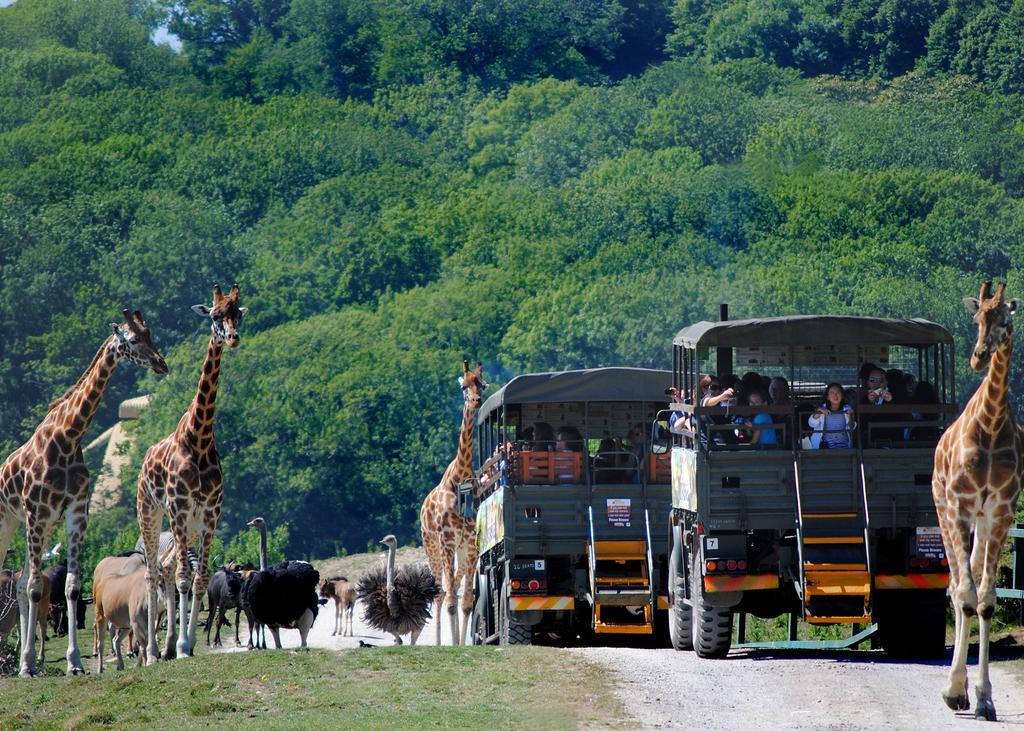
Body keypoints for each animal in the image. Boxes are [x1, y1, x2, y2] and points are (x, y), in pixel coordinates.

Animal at [0, 311, 166, 675]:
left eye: (151, 334)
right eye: (133, 340)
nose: (161, 363)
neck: (68, 437)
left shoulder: (74, 513)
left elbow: (71, 587)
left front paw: (74, 663)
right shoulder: (37, 513)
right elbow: (37, 588)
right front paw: (30, 666)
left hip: (38, 527)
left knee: (19, 584)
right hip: (10, 521)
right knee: (22, 583)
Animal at [136, 284, 247, 659]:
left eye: (238, 313)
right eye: (214, 315)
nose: (232, 338)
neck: (199, 438)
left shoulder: (211, 513)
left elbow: (198, 580)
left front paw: (188, 642)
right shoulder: (180, 509)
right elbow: (185, 577)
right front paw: (183, 645)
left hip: (191, 525)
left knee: (169, 568)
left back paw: (169, 643)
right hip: (151, 514)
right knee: (154, 572)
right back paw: (154, 651)